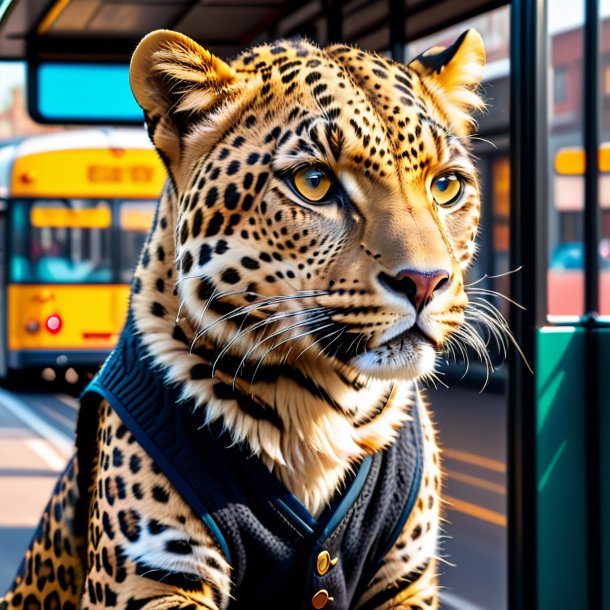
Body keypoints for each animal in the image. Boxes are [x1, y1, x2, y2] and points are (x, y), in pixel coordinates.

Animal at [0, 27, 484, 608]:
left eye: (447, 186)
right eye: (314, 182)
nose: (426, 282)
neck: (325, 412)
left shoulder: (407, 576)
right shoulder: (151, 578)